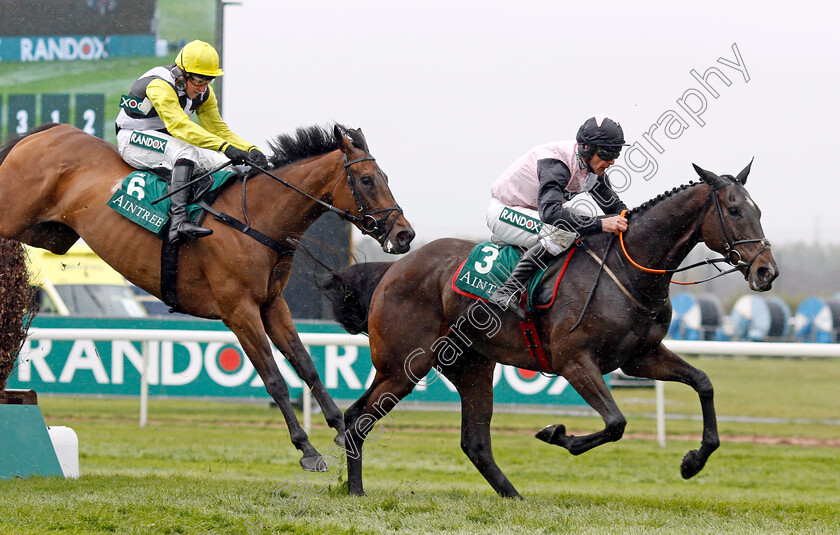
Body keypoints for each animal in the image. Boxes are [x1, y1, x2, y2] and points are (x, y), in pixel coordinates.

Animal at [0, 121, 416, 468]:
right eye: (366, 179)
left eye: (385, 177)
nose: (404, 234)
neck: (256, 218)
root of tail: (51, 130)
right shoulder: (239, 311)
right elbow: (275, 379)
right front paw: (307, 449)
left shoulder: (272, 304)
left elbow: (307, 366)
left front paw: (343, 431)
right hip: (15, 218)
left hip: (50, 234)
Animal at [320, 163, 776, 498]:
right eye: (734, 210)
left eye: (758, 210)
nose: (766, 271)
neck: (627, 270)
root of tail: (392, 270)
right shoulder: (575, 361)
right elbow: (615, 423)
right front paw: (557, 433)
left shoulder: (639, 357)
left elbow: (703, 383)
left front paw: (693, 460)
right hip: (405, 366)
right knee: (357, 418)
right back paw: (356, 491)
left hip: (470, 366)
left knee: (473, 442)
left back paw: (513, 497)